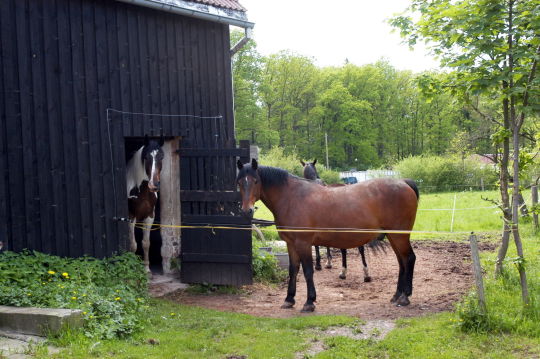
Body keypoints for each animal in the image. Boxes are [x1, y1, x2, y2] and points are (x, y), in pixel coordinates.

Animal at [126, 136, 165, 274]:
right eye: (146, 157)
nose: (154, 185)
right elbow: (133, 245)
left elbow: (146, 243)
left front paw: (147, 269)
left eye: (162, 157)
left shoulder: (149, 216)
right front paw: (132, 268)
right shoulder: (130, 217)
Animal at [238, 160, 420, 312]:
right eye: (239, 182)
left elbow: (308, 271)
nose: (247, 210)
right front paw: (289, 299)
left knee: (409, 258)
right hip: (393, 236)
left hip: (399, 236)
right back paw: (397, 295)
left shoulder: (303, 243)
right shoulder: (291, 244)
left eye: (256, 181)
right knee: (401, 262)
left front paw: (309, 302)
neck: (292, 197)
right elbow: (293, 270)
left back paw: (405, 297)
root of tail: (404, 182)